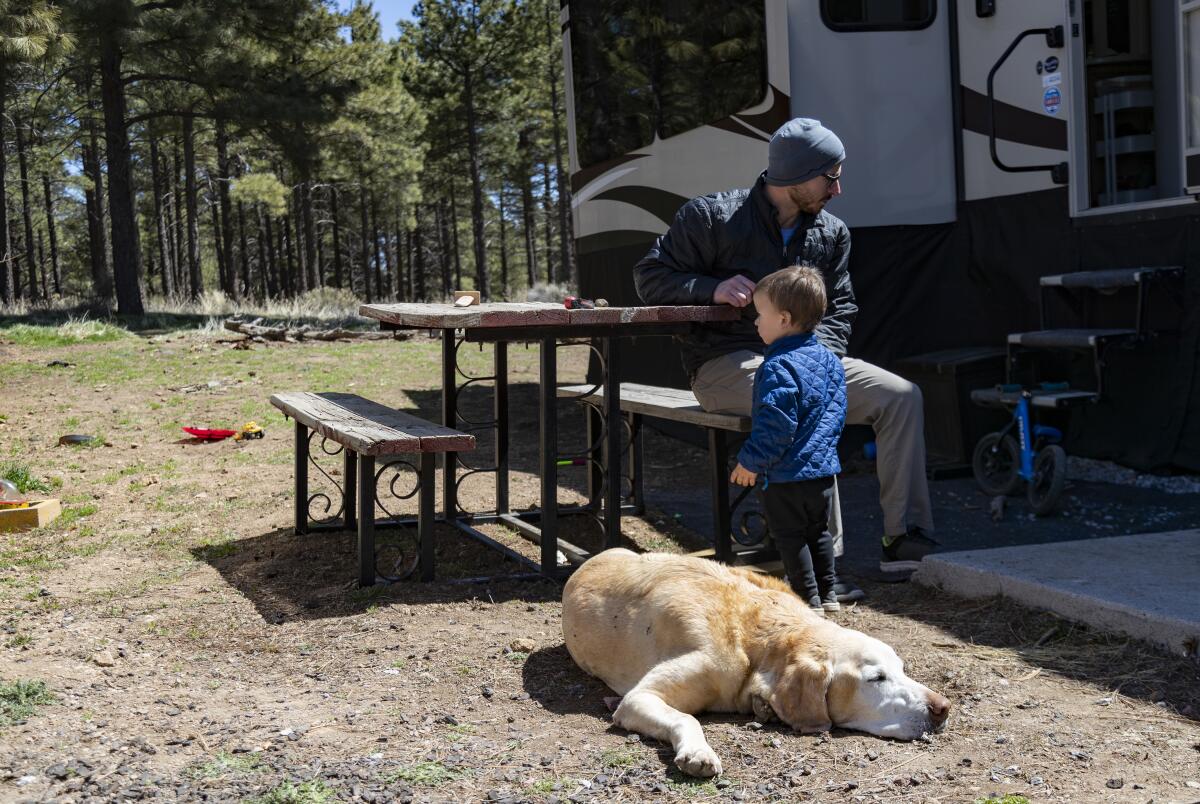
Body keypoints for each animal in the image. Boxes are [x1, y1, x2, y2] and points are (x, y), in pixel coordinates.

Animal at [559, 552, 945, 777]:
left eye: (902, 669)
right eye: (876, 678)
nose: (943, 707)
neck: (758, 643)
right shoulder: (639, 698)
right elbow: (685, 718)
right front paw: (698, 752)